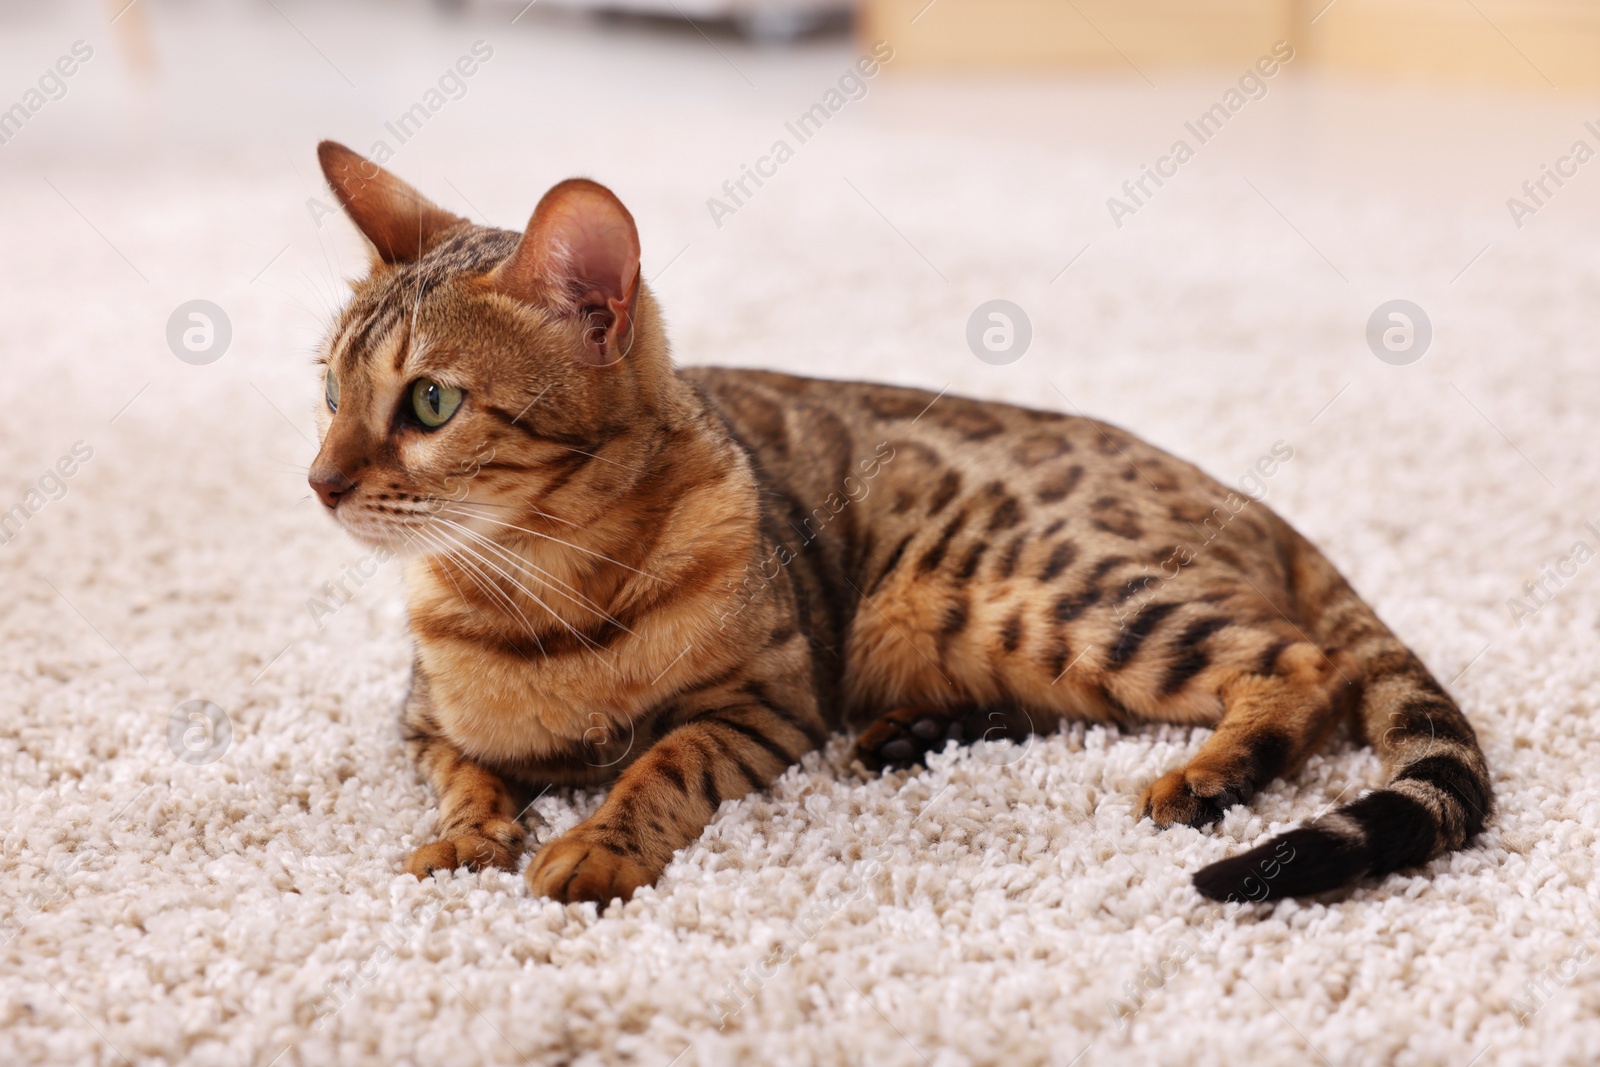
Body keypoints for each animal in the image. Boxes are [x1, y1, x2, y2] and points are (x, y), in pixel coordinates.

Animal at [308, 139, 1484, 908]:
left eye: (429, 403)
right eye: (328, 391)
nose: (317, 480)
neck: (540, 583)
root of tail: (1241, 493)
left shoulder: (763, 703)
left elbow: (659, 767)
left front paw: (595, 843)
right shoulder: (419, 725)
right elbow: (465, 776)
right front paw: (466, 838)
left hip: (1039, 595)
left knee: (1305, 662)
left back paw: (1213, 771)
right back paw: (922, 733)